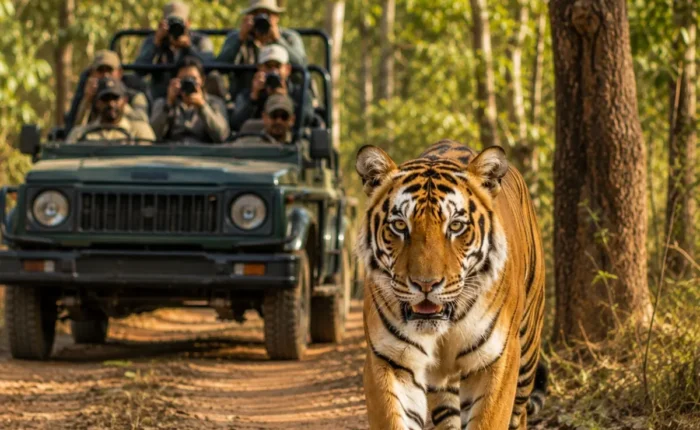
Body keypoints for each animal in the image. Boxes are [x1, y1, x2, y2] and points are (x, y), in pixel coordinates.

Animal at [355, 140, 547, 430]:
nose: (425, 284)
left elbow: (489, 420)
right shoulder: (390, 360)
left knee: (520, 412)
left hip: (527, 349)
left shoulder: (496, 360)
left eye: (456, 226)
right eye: (400, 225)